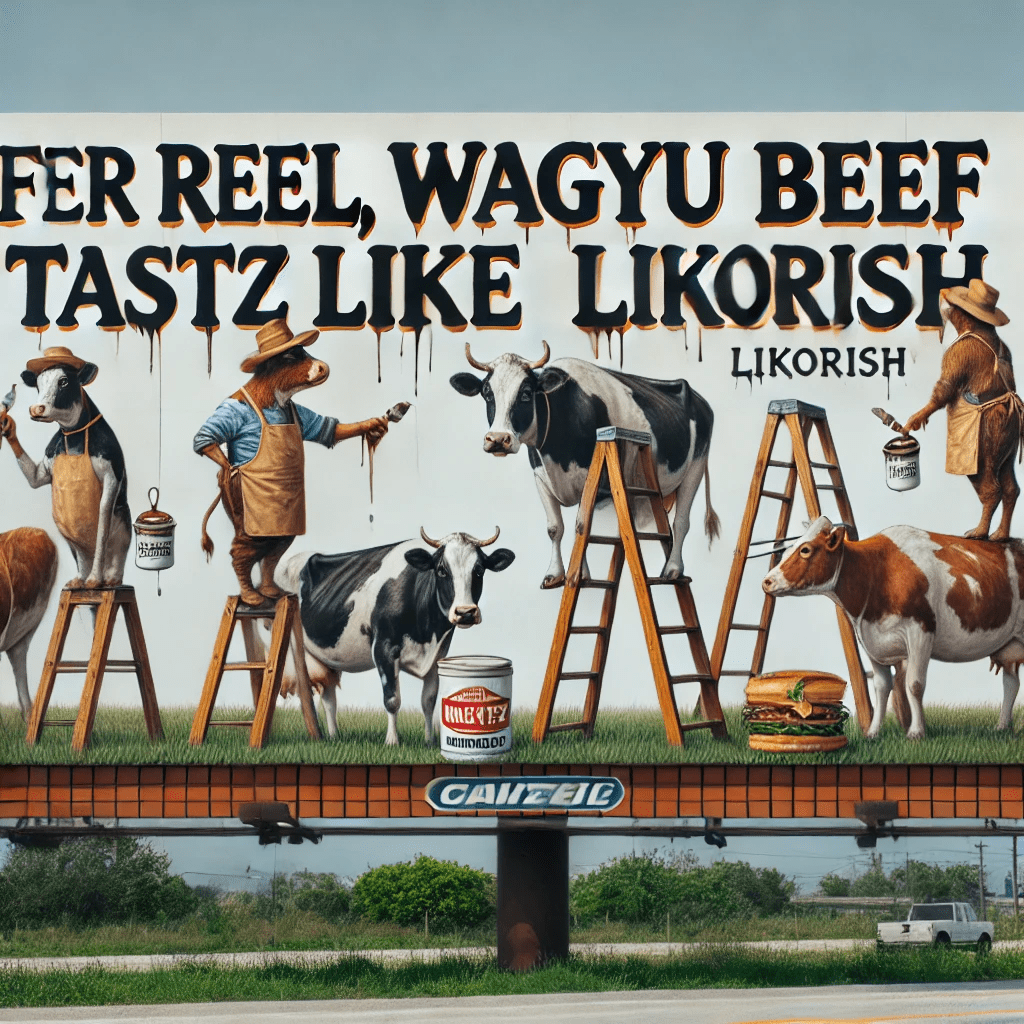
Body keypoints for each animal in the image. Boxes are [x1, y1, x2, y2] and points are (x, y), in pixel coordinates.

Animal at [196, 319, 391, 602]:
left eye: (304, 351)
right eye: (289, 356)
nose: (323, 367)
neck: (273, 398)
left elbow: (328, 428)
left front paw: (373, 424)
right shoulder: (229, 410)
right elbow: (205, 437)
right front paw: (229, 467)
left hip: (286, 524)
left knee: (274, 549)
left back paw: (269, 589)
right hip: (247, 521)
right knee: (241, 551)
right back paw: (250, 595)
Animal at [256, 528, 512, 745]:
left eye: (479, 570)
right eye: (441, 570)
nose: (465, 612)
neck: (426, 633)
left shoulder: (437, 654)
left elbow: (428, 700)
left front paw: (430, 740)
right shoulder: (384, 649)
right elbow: (392, 699)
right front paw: (392, 741)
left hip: (327, 658)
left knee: (329, 698)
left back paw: (333, 736)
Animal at [448, 342, 720, 589]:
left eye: (525, 393)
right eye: (487, 393)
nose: (497, 439)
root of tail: (699, 399)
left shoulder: (590, 478)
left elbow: (582, 527)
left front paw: (579, 574)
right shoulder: (541, 479)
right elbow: (555, 528)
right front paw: (555, 574)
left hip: (696, 467)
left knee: (681, 523)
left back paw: (673, 569)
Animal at [761, 516, 1024, 741]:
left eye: (805, 550)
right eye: (788, 548)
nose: (767, 581)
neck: (876, 572)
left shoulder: (920, 631)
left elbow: (914, 685)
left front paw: (916, 733)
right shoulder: (870, 640)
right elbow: (881, 687)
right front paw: (873, 732)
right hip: (1009, 644)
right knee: (1011, 683)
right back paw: (1001, 727)